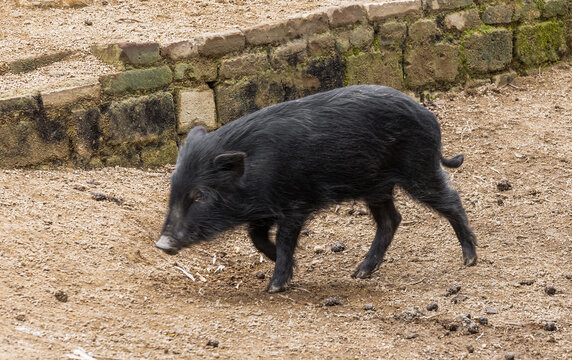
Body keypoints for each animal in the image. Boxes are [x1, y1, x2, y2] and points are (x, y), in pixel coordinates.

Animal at [156, 86, 478, 292]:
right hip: (376, 186)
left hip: (418, 170)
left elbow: (284, 239)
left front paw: (274, 287)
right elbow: (257, 238)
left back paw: (469, 260)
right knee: (391, 219)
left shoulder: (295, 204)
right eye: (173, 189)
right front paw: (290, 267)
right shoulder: (264, 210)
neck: (255, 170)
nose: (162, 244)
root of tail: (429, 117)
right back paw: (359, 273)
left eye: (200, 195)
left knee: (451, 199)